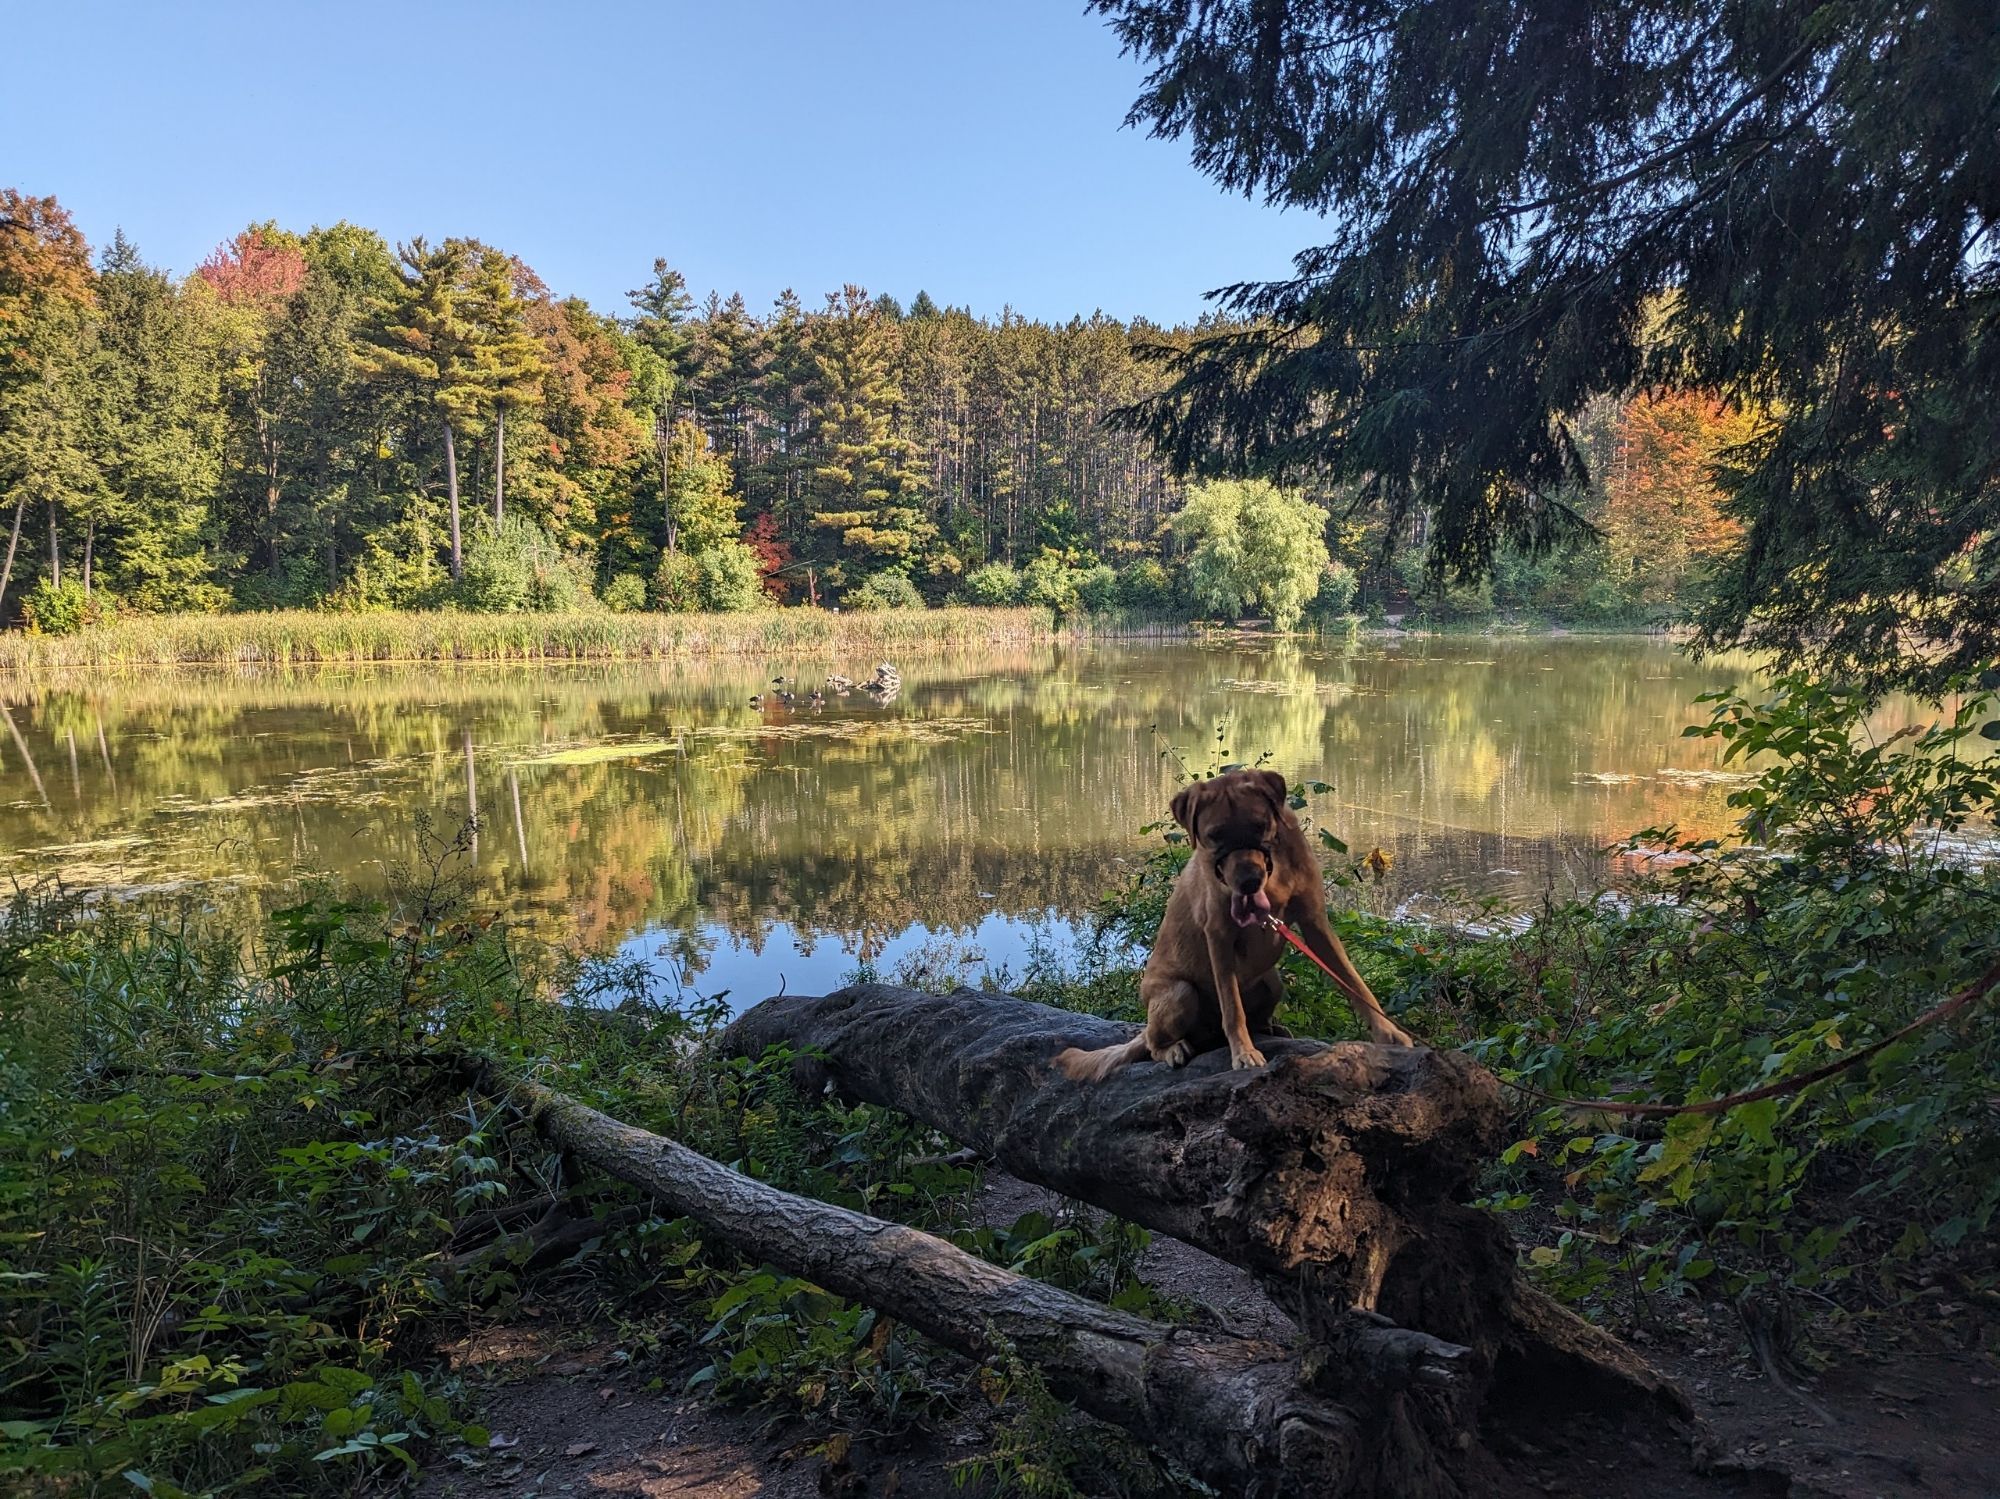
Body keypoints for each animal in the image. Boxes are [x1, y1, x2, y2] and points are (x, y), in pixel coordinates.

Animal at [1056, 775, 1416, 1079]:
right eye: (1214, 835)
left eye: (1260, 826)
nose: (1248, 881)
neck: (1274, 876)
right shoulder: (1219, 935)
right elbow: (1232, 1009)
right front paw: (1243, 1053)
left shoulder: (1316, 924)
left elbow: (1355, 984)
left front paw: (1389, 1034)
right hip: (1179, 993)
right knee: (1158, 1043)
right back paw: (1174, 1049)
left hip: (1272, 981)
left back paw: (1270, 1029)